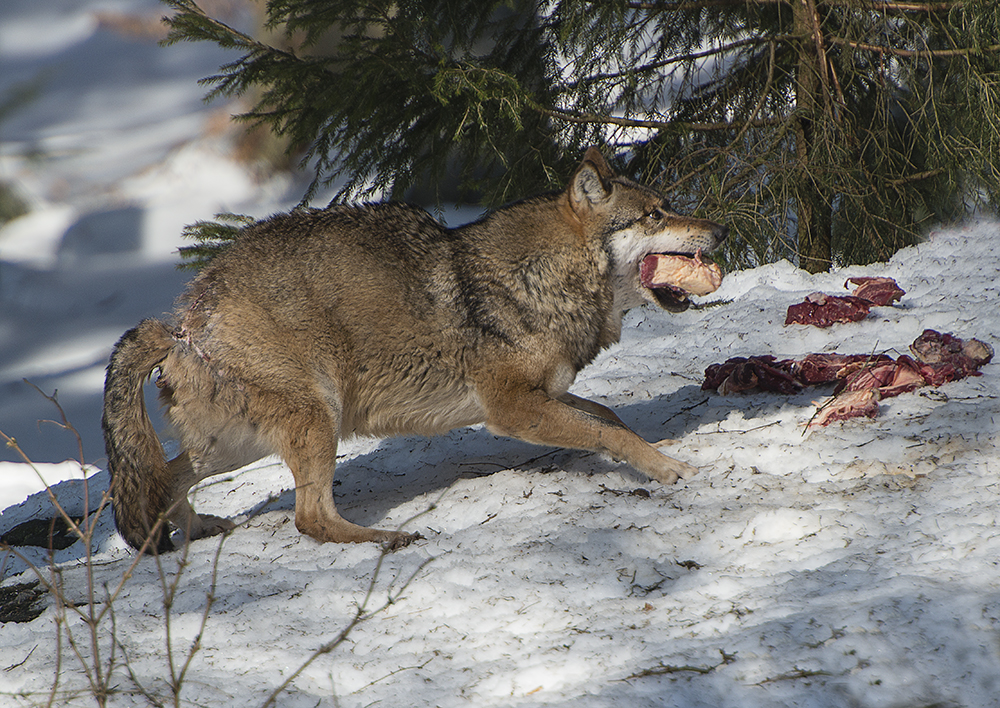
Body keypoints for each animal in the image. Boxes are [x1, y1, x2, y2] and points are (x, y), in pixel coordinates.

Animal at [103, 147, 728, 552]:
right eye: (656, 215)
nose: (721, 230)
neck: (541, 277)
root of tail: (181, 324)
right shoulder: (514, 410)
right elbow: (608, 432)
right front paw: (670, 469)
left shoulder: (545, 396)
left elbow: (610, 416)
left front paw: (661, 445)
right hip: (317, 420)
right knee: (310, 518)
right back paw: (389, 536)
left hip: (242, 445)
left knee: (168, 480)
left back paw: (196, 530)